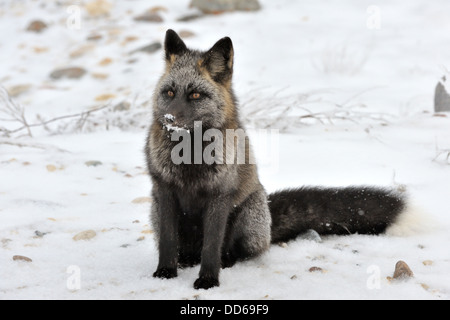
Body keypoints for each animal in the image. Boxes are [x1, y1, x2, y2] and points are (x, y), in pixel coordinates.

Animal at [146, 30, 414, 290]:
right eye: (169, 92)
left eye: (195, 94)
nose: (169, 119)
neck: (189, 159)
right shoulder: (165, 190)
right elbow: (168, 242)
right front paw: (165, 272)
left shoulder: (219, 195)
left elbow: (211, 247)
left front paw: (208, 280)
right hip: (156, 208)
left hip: (250, 215)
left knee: (237, 252)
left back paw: (227, 260)